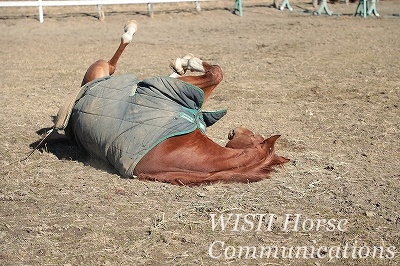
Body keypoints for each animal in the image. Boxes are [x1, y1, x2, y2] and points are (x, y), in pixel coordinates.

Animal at [76, 20, 288, 185]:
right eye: (255, 135)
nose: (240, 128)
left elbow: (216, 73)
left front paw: (185, 62)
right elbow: (215, 74)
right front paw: (185, 63)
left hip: (98, 72)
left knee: (113, 61)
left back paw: (132, 31)